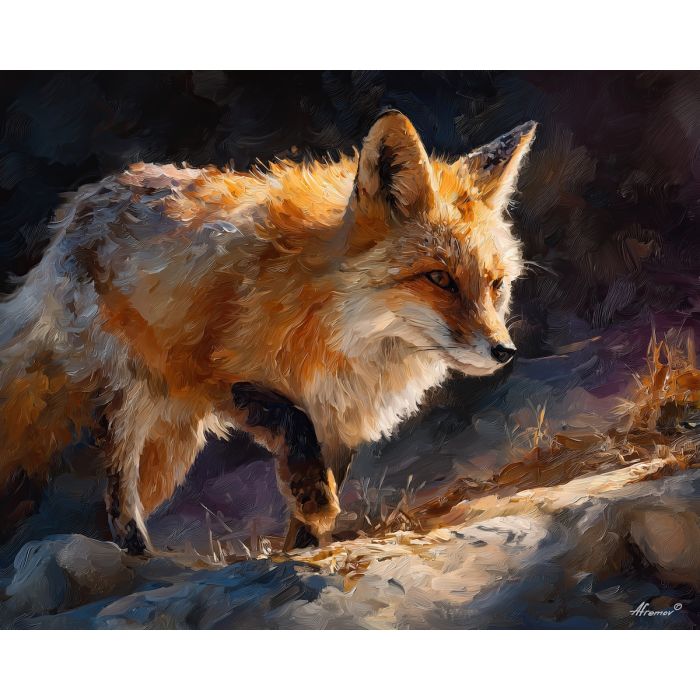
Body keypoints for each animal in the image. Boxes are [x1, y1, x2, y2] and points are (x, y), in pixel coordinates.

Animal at [0, 111, 536, 554]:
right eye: (439, 279)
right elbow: (294, 427)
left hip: (175, 438)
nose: (504, 351)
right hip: (138, 394)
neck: (344, 329)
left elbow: (322, 484)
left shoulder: (340, 413)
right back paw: (137, 550)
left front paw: (306, 546)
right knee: (117, 477)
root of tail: (82, 204)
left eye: (496, 285)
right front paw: (313, 500)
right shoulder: (218, 374)